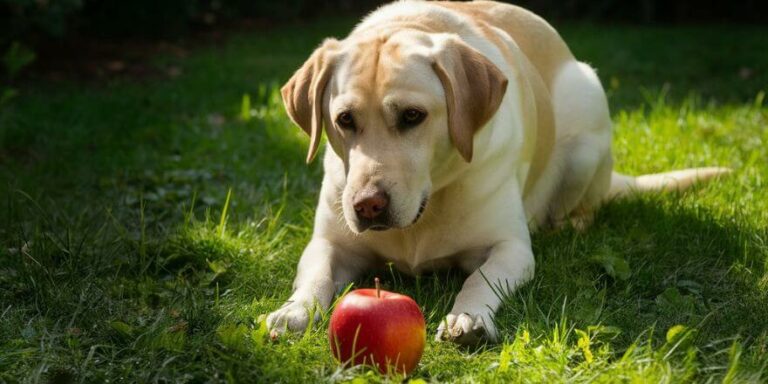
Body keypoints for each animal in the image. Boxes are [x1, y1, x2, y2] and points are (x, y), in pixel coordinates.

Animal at [264, 0, 728, 344]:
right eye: (344, 120)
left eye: (413, 116)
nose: (367, 206)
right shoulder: (330, 244)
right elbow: (316, 277)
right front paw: (294, 311)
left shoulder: (511, 249)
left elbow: (478, 280)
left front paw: (468, 318)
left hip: (587, 115)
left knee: (582, 208)